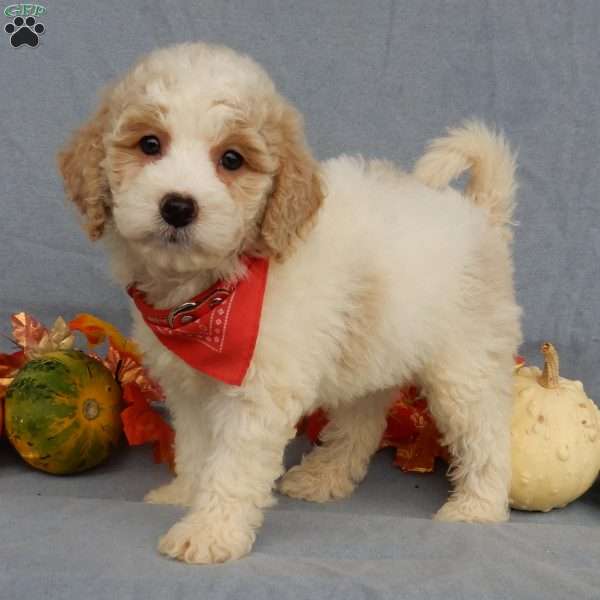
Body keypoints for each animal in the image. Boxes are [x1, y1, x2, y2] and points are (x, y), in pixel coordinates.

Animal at [58, 41, 524, 564]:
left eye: (232, 159)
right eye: (149, 145)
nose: (177, 206)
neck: (214, 292)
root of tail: (481, 214)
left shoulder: (256, 392)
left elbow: (232, 466)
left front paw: (210, 531)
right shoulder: (189, 386)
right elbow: (198, 449)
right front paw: (186, 495)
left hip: (465, 362)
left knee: (485, 430)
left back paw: (477, 507)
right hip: (375, 347)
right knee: (363, 419)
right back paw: (325, 476)